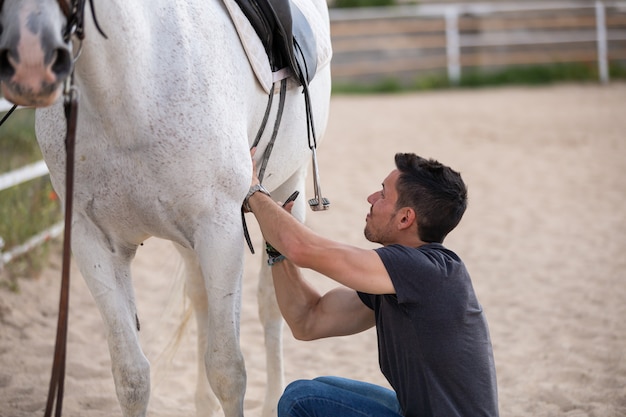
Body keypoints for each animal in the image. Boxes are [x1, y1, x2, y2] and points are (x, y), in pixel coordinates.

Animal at [0, 0, 332, 414]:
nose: (29, 61)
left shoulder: (221, 232)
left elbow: (228, 370)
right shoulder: (92, 241)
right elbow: (131, 376)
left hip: (290, 188)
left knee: (271, 305)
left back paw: (272, 399)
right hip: (185, 240)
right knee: (202, 301)